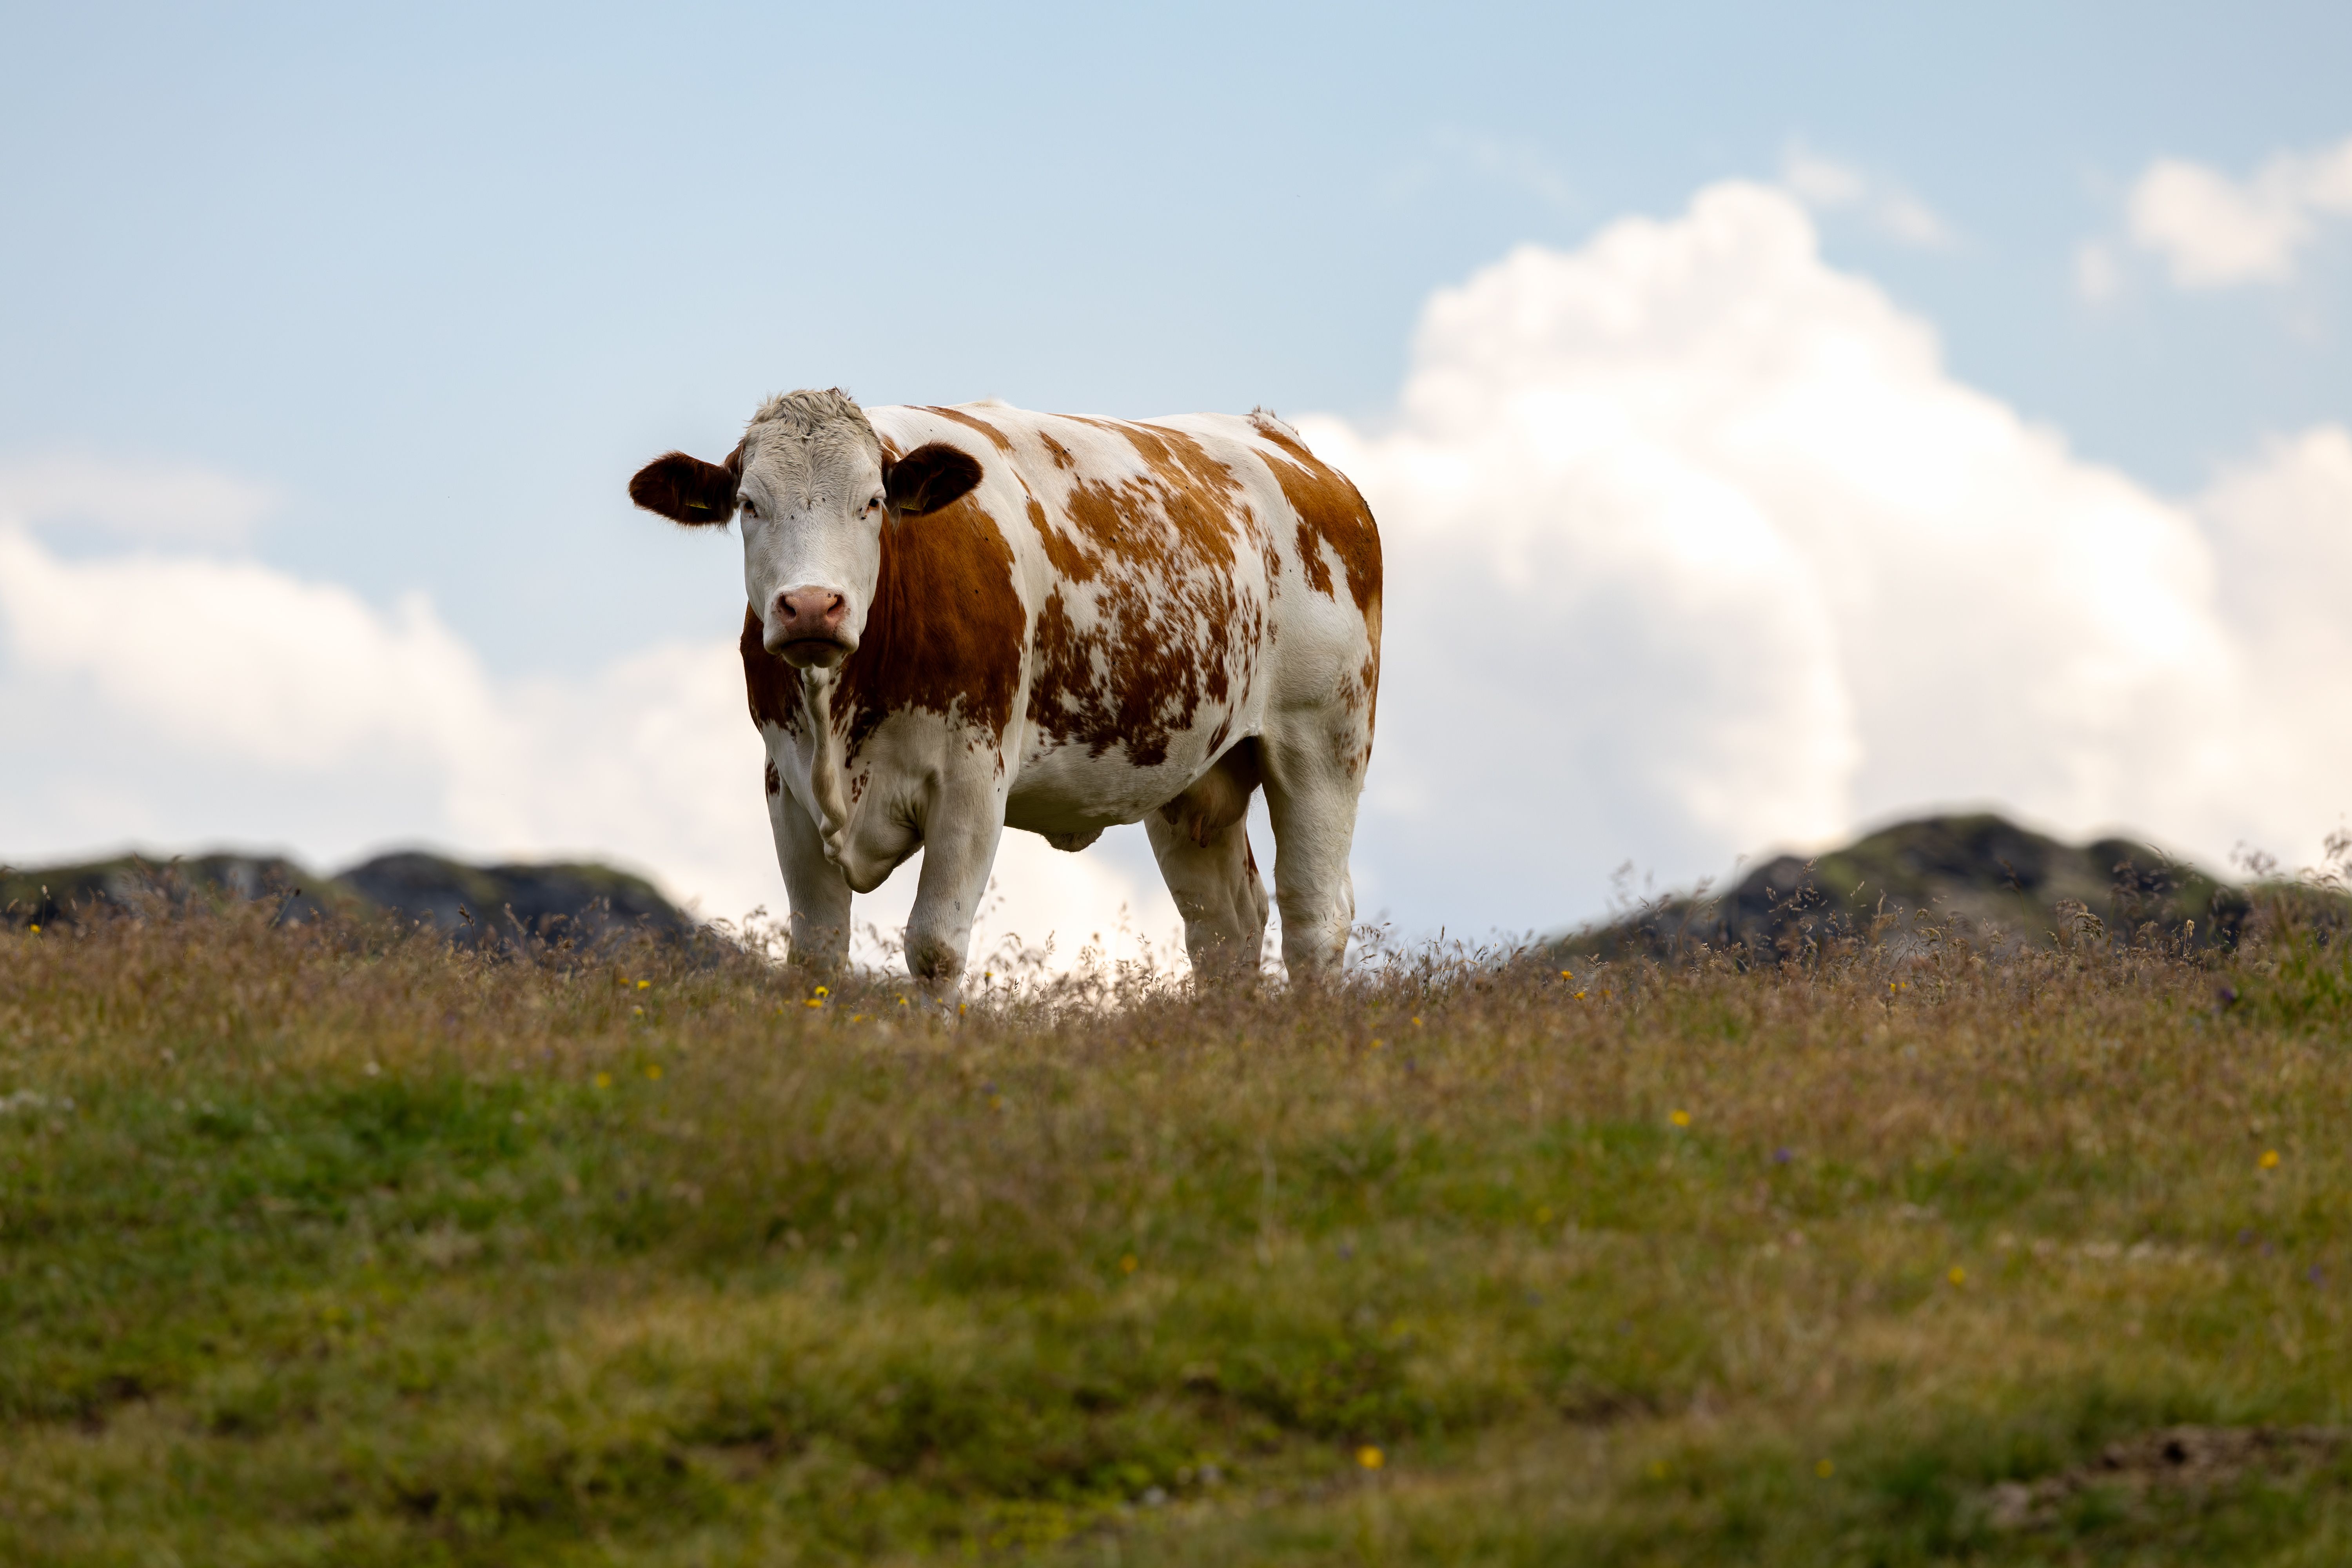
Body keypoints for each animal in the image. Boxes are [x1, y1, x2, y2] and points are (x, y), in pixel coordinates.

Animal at [628, 389, 1380, 985]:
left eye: (872, 502)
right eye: (749, 504)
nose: (812, 607)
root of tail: (1282, 441)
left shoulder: (972, 779)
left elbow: (934, 948)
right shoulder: (785, 785)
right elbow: (816, 953)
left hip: (1324, 741)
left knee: (1315, 918)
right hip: (1192, 775)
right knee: (1225, 930)